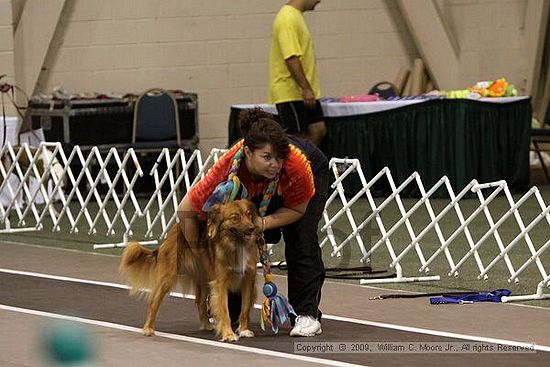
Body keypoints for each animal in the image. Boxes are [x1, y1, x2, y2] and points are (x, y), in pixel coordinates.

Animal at [118, 200, 264, 344]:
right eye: (235, 218)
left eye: (249, 215)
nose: (252, 228)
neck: (236, 244)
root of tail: (174, 230)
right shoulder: (221, 283)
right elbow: (224, 310)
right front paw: (228, 334)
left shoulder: (248, 280)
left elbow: (244, 309)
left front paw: (244, 330)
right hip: (168, 278)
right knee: (154, 302)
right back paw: (148, 328)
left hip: (205, 278)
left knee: (200, 301)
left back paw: (207, 324)